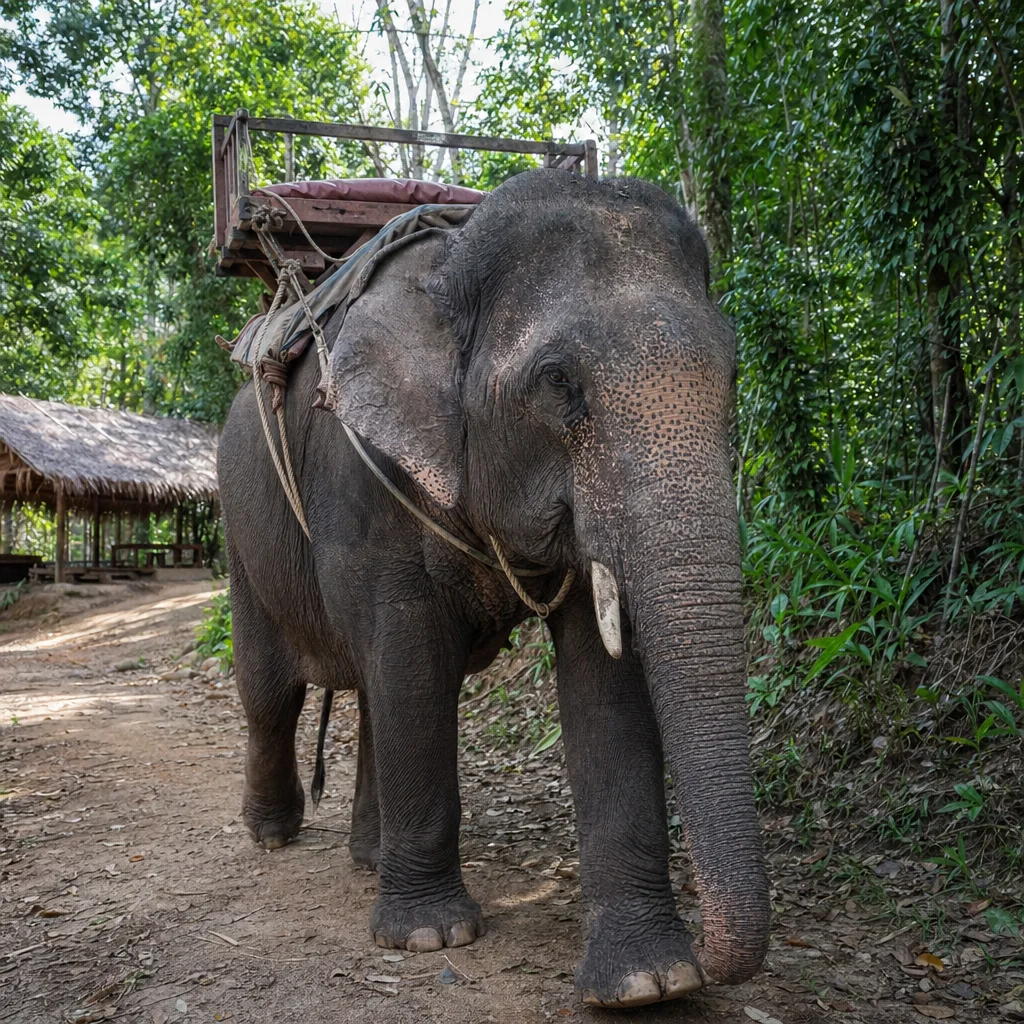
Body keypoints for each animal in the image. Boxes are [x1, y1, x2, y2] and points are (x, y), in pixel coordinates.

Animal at [218, 168, 770, 1009]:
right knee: (274, 690)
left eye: (732, 375)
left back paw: (370, 859)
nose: (716, 955)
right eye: (558, 381)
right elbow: (413, 659)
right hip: (237, 523)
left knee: (373, 689)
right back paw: (274, 836)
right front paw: (430, 937)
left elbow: (600, 678)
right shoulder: (366, 479)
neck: (456, 263)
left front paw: (651, 982)